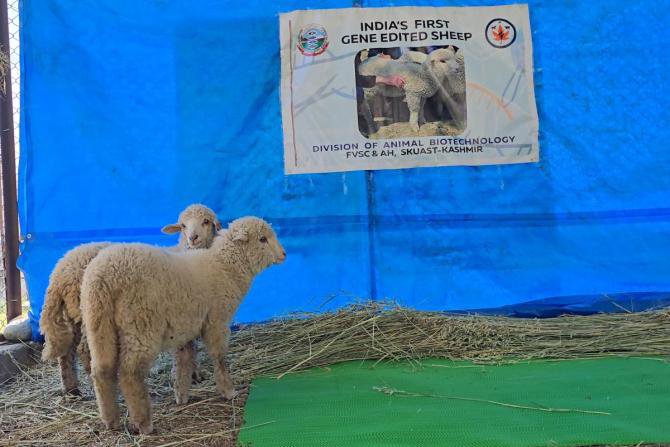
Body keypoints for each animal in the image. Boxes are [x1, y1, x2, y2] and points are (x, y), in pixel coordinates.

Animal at [39, 204, 221, 396]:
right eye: (183, 226)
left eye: (206, 221)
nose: (193, 238)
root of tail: (59, 272)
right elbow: (187, 346)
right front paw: (190, 375)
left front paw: (193, 374)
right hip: (91, 311)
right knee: (85, 349)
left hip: (73, 313)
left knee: (67, 352)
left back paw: (71, 389)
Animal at [80, 216, 286, 434]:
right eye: (262, 239)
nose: (284, 254)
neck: (225, 266)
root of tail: (103, 276)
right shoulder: (217, 321)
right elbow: (219, 358)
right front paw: (228, 391)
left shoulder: (184, 328)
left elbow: (183, 361)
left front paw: (181, 395)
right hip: (140, 324)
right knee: (130, 374)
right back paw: (144, 423)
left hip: (98, 323)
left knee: (101, 370)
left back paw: (111, 420)